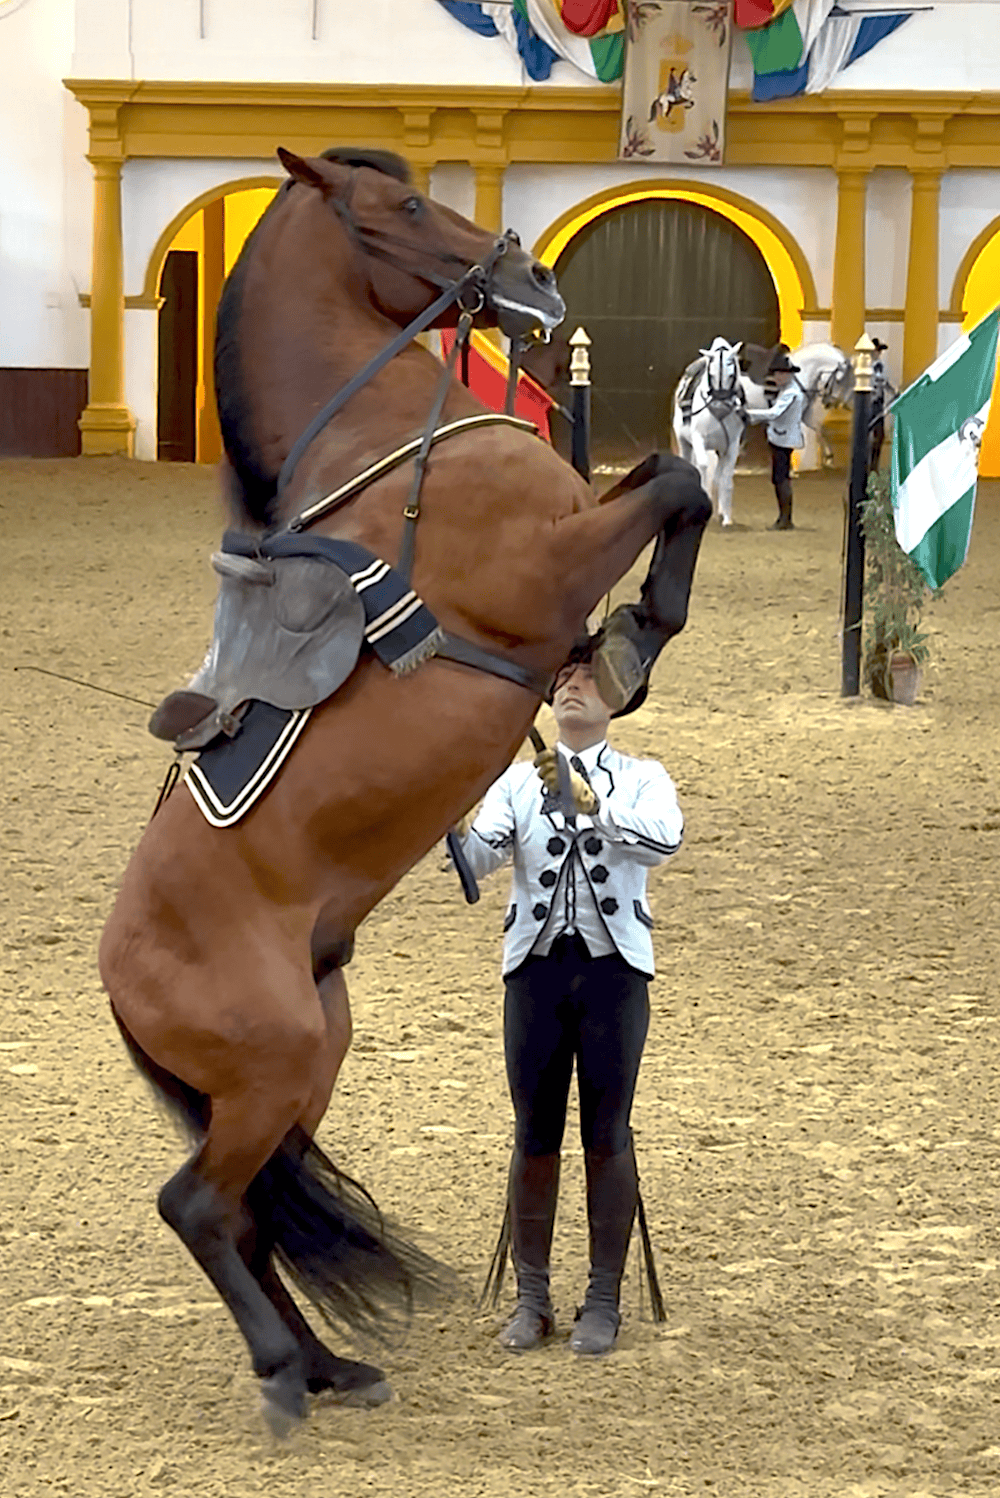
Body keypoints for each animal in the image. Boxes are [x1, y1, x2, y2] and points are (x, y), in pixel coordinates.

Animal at [98, 146, 711, 1433]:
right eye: (410, 204)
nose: (532, 278)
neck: (392, 444)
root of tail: (118, 975)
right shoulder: (543, 561)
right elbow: (677, 480)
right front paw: (636, 633)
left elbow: (664, 473)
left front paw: (625, 645)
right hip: (277, 1064)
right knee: (198, 1205)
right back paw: (288, 1376)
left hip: (300, 1066)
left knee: (247, 1209)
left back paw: (331, 1363)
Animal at [671, 336, 746, 528]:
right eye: (711, 375)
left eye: (731, 374)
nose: (720, 403)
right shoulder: (699, 439)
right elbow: (703, 467)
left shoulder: (731, 445)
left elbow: (725, 478)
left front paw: (726, 518)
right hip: (684, 442)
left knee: (718, 475)